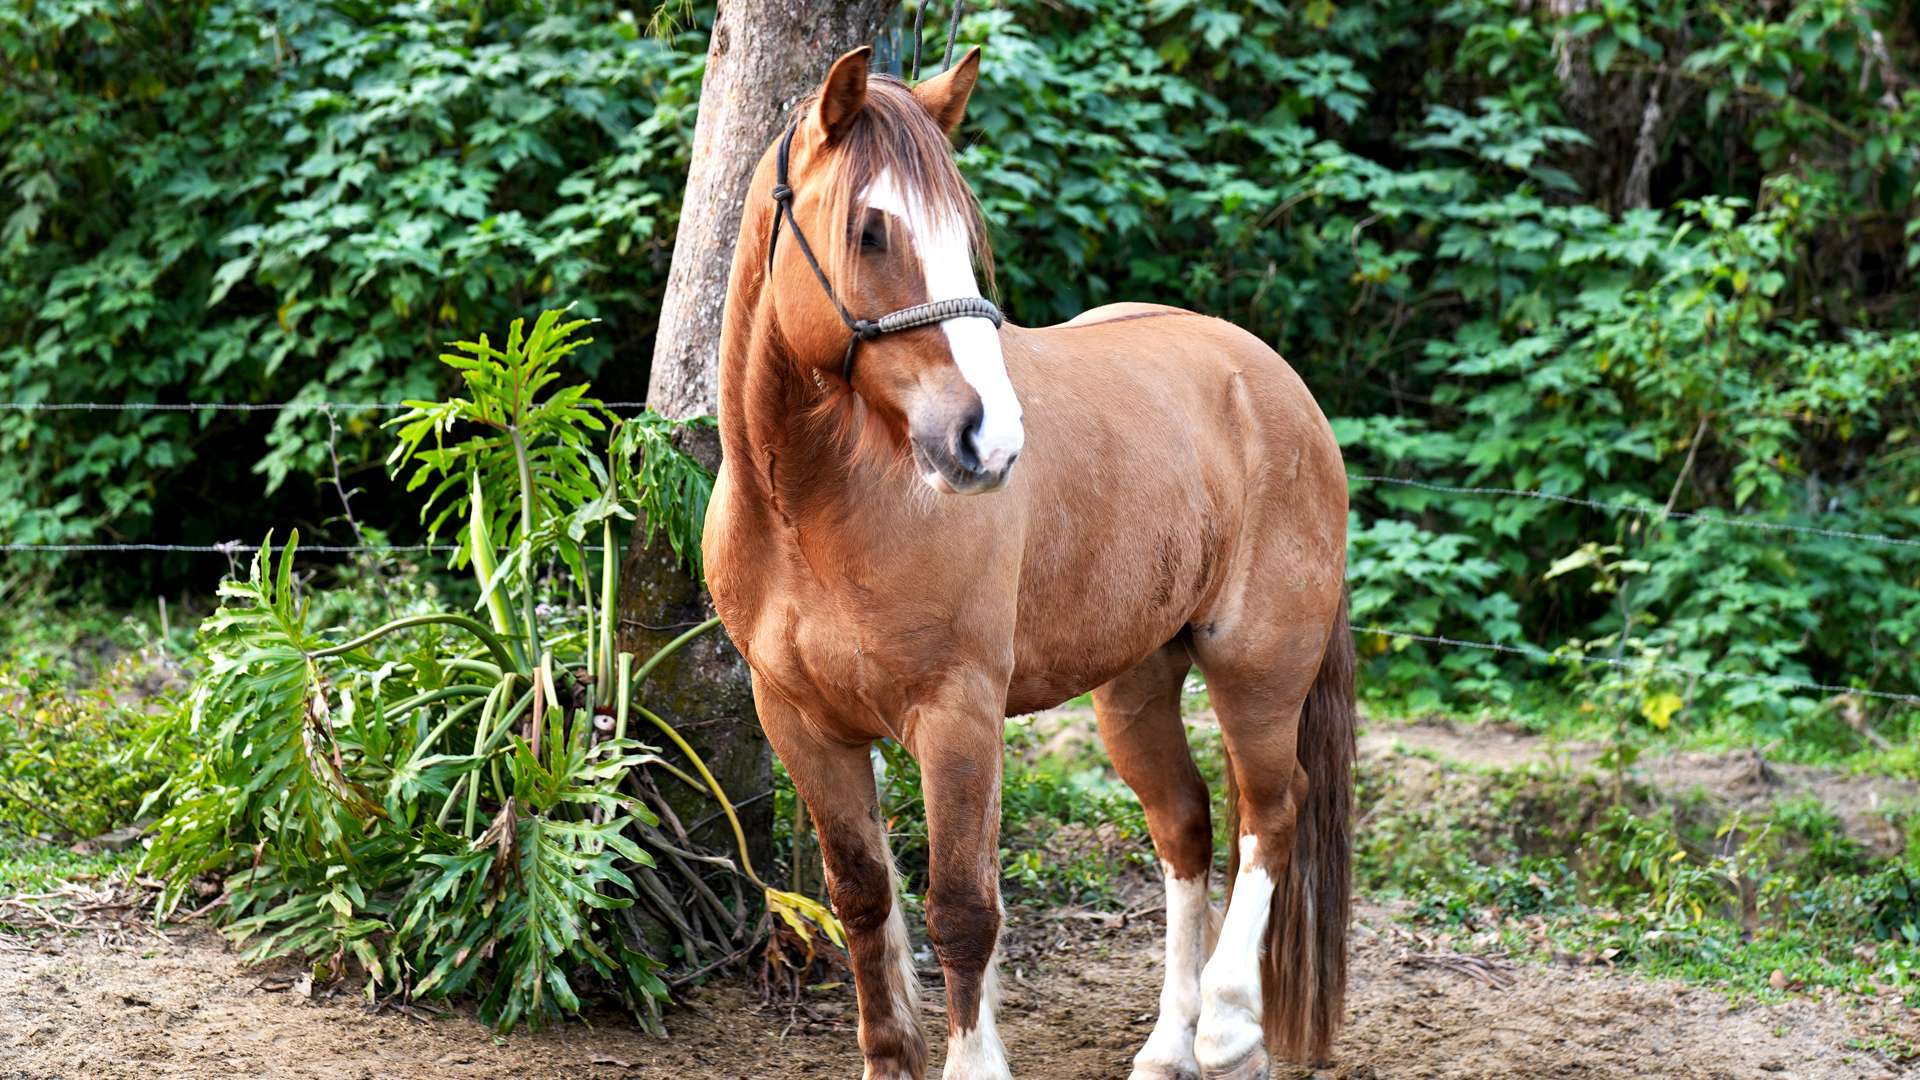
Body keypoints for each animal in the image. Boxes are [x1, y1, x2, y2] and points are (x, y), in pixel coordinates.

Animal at [702, 46, 1354, 1080]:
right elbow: (862, 899)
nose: (989, 440)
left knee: (1271, 814)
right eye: (870, 229)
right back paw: (1167, 1045)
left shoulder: (958, 715)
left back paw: (1228, 1029)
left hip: (1257, 667)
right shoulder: (800, 721)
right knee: (1187, 824)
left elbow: (963, 912)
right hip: (1135, 683)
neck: (814, 507)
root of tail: (1271, 378)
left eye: (964, 236)